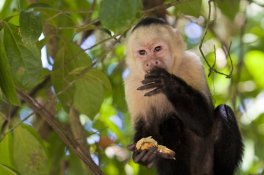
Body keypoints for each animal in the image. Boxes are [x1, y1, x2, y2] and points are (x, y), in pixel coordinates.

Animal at [124, 17, 243, 175]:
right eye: (142, 52)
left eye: (157, 49)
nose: (151, 62)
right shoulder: (131, 84)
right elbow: (145, 124)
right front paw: (143, 154)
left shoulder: (192, 64)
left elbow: (204, 122)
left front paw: (166, 81)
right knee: (169, 125)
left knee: (224, 111)